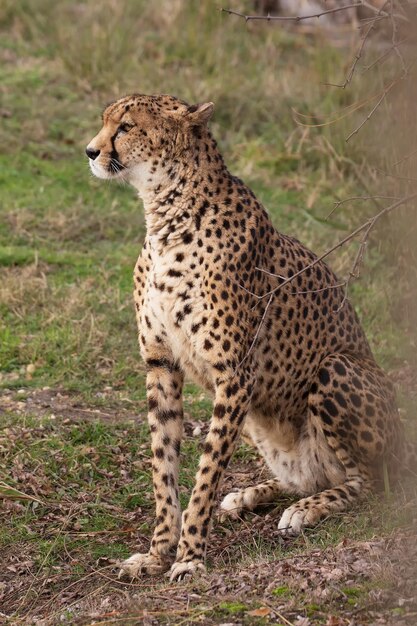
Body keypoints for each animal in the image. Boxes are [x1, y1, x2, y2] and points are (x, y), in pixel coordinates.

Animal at [86, 92, 414, 580]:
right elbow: (164, 467)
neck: (165, 211)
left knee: (367, 482)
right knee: (305, 477)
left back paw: (306, 510)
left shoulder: (234, 376)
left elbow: (205, 472)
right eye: (107, 122)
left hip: (335, 368)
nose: (91, 151)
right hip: (264, 424)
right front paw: (158, 552)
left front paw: (189, 557)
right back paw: (249, 495)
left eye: (125, 127)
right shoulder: (161, 365)